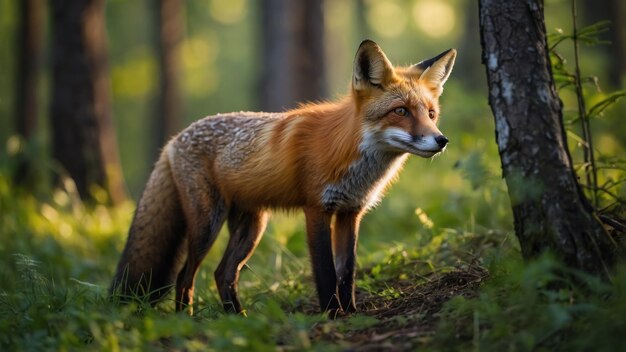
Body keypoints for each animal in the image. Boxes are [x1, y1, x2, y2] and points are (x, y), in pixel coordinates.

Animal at [111, 40, 454, 314]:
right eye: (401, 111)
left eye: (431, 113)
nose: (441, 140)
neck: (349, 154)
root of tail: (173, 140)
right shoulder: (316, 209)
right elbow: (326, 273)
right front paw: (332, 315)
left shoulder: (350, 212)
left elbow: (348, 272)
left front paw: (352, 312)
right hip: (207, 224)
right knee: (185, 277)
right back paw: (187, 320)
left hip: (251, 227)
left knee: (222, 274)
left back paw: (238, 318)